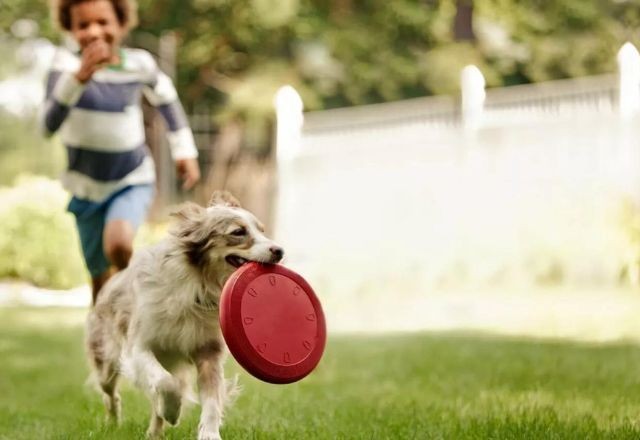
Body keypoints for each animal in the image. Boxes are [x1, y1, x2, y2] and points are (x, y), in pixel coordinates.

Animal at [85, 191, 284, 438]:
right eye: (238, 232)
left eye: (262, 230)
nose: (279, 251)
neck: (198, 286)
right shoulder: (138, 347)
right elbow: (166, 383)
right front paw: (172, 411)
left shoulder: (209, 352)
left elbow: (211, 401)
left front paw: (209, 433)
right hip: (107, 360)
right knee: (111, 393)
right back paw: (114, 422)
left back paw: (155, 431)